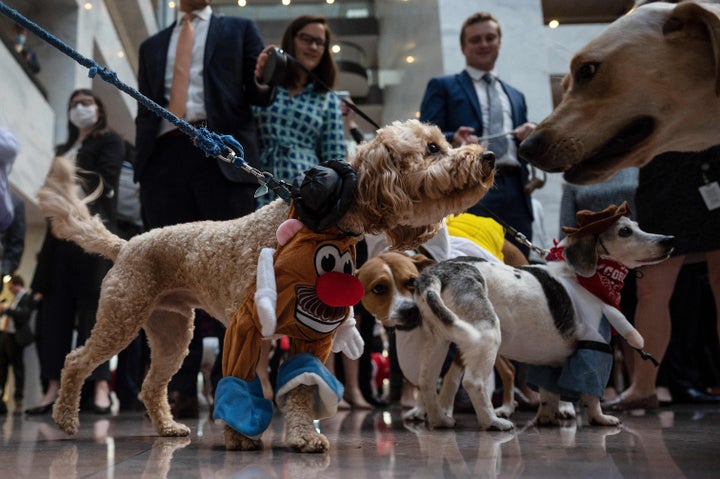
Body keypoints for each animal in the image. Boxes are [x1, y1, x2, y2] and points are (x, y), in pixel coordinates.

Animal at [38, 120, 496, 454]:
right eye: (433, 148)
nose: (489, 157)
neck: (318, 224)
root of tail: (128, 244)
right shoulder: (247, 327)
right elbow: (241, 382)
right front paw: (240, 436)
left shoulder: (313, 335)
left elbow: (301, 387)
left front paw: (303, 437)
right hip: (122, 317)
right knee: (76, 361)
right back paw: (65, 418)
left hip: (172, 331)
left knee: (153, 385)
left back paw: (167, 427)